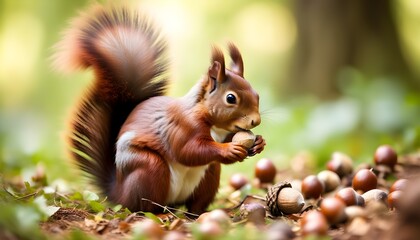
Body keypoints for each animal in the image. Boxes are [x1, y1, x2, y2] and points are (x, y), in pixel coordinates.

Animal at [55, 4, 266, 214]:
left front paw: (259, 143)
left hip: (209, 175)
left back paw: (200, 213)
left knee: (195, 203)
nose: (256, 121)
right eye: (231, 98)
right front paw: (229, 150)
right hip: (148, 168)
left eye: (257, 94)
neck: (212, 124)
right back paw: (158, 214)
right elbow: (189, 150)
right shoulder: (182, 126)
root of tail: (119, 193)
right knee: (145, 206)